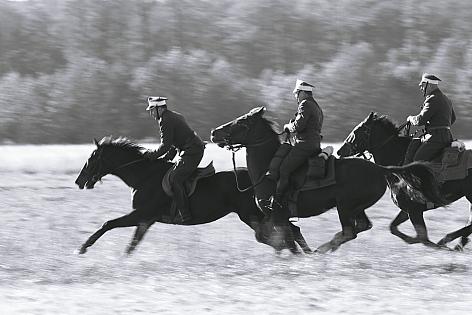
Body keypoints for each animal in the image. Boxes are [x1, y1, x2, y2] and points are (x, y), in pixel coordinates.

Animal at [74, 137, 314, 256]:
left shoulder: (141, 215)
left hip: (252, 214)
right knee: (290, 230)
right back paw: (305, 255)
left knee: (284, 232)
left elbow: (108, 224)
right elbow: (132, 245)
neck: (143, 176)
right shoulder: (145, 220)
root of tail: (262, 178)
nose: (79, 181)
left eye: (92, 158)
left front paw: (82, 248)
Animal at [212, 107, 448, 253]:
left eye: (241, 123)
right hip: (355, 208)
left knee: (350, 231)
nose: (214, 132)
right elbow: (284, 236)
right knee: (361, 227)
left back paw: (324, 248)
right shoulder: (277, 217)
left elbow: (282, 238)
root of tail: (379, 168)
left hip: (345, 206)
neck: (268, 168)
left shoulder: (277, 215)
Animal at [338, 112, 470, 251]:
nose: (340, 151)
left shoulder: (414, 210)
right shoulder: (407, 210)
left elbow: (422, 238)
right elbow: (394, 228)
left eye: (357, 131)